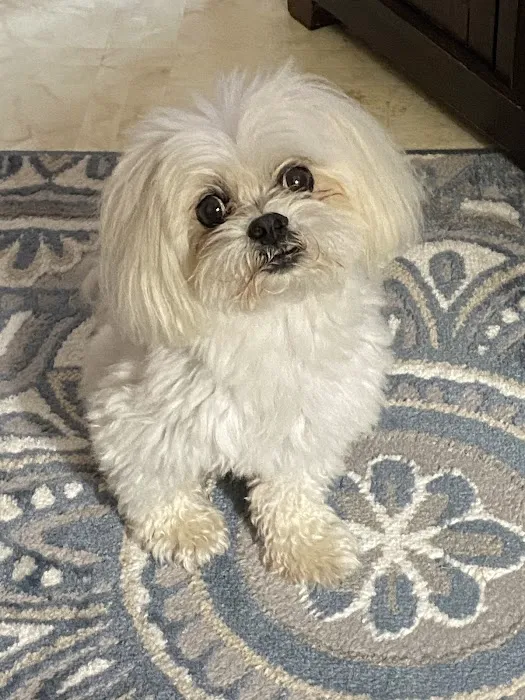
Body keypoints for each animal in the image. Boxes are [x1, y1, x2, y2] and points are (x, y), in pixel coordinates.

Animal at [82, 64, 422, 586]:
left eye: (298, 177)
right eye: (211, 208)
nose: (268, 224)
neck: (270, 319)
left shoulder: (310, 422)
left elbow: (290, 492)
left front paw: (308, 546)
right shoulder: (132, 418)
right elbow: (153, 482)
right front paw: (184, 529)